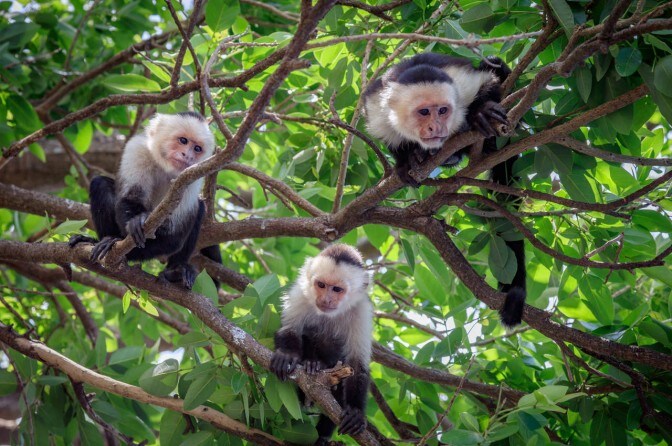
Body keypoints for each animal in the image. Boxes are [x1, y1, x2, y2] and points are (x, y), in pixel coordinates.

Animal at [69, 112, 221, 289]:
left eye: (197, 148)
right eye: (183, 140)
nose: (188, 155)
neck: (165, 167)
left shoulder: (193, 176)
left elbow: (174, 237)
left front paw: (123, 247)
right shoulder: (138, 149)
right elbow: (130, 198)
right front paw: (134, 223)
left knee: (199, 209)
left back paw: (176, 271)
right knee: (100, 184)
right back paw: (102, 239)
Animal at [270, 244, 373, 444]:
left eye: (337, 289)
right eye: (321, 285)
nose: (326, 300)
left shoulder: (361, 312)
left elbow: (356, 364)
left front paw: (355, 411)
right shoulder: (300, 295)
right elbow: (290, 330)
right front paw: (287, 355)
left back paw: (323, 434)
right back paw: (312, 363)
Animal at [363, 53, 526, 327]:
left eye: (442, 111)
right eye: (424, 112)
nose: (436, 128)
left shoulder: (461, 85)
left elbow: (488, 83)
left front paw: (480, 111)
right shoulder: (377, 106)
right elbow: (389, 137)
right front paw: (406, 161)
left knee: (493, 64)